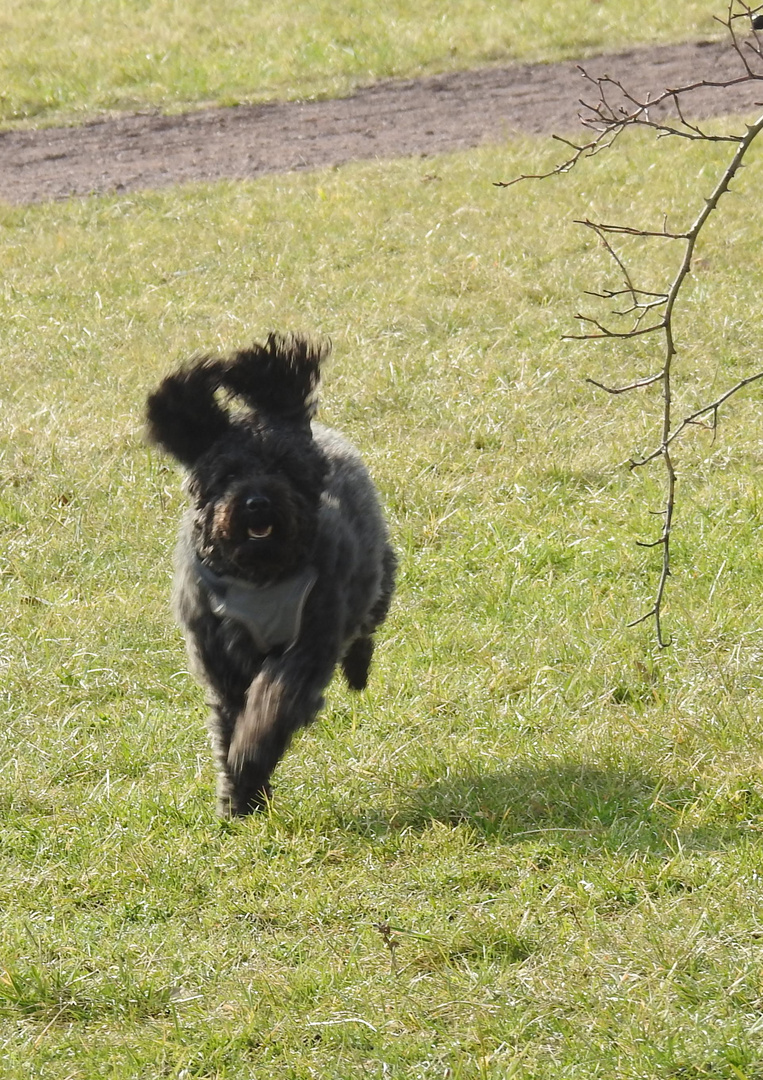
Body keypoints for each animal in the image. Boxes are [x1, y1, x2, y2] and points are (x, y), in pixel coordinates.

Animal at [143, 332, 393, 812]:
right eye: (228, 473)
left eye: (284, 466)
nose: (257, 502)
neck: (261, 575)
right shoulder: (218, 655)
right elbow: (227, 720)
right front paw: (239, 796)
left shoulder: (308, 642)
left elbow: (271, 704)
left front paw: (248, 762)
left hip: (373, 575)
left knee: (366, 623)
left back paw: (358, 669)